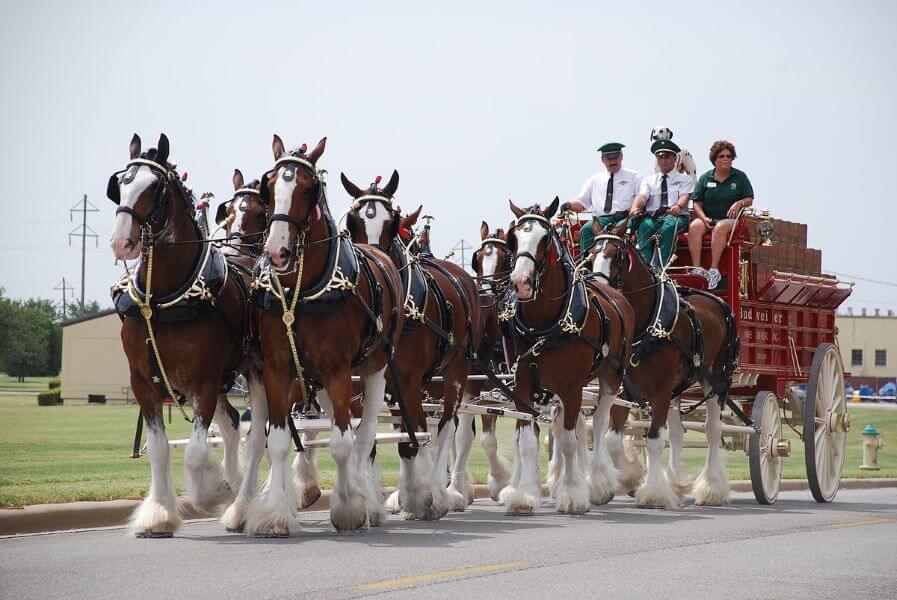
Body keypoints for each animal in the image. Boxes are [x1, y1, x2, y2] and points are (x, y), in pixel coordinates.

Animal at [107, 134, 248, 536]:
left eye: (154, 188)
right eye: (120, 184)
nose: (122, 242)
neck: (163, 299)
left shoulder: (203, 380)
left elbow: (197, 452)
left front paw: (212, 490)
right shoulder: (142, 382)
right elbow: (158, 449)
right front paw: (158, 513)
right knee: (233, 424)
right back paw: (238, 494)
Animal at [245, 136, 406, 536]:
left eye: (308, 188)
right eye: (270, 186)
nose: (277, 251)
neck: (302, 292)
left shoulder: (338, 370)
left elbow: (343, 444)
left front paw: (350, 507)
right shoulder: (278, 368)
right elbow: (279, 441)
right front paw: (275, 513)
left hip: (372, 371)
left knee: (365, 436)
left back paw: (367, 498)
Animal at [340, 170, 484, 516]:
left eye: (392, 223)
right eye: (353, 222)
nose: (373, 262)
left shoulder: (408, 379)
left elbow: (414, 437)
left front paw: (423, 497)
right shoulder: (375, 381)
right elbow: (382, 438)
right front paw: (395, 497)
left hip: (456, 374)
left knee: (446, 427)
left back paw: (441, 491)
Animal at [500, 199, 632, 512]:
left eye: (545, 238)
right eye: (514, 238)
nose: (520, 282)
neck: (543, 324)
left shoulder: (572, 386)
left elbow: (571, 441)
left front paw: (573, 494)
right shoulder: (523, 386)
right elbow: (528, 440)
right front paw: (525, 495)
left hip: (610, 378)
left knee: (598, 424)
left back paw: (596, 483)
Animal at [592, 220, 740, 506]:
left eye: (617, 256)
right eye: (591, 253)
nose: (600, 290)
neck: (647, 324)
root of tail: (718, 301)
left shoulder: (659, 392)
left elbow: (653, 440)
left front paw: (653, 493)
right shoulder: (626, 390)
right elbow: (613, 439)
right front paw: (631, 476)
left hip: (716, 380)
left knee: (712, 430)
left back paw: (712, 487)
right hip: (677, 388)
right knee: (678, 432)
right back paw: (676, 482)